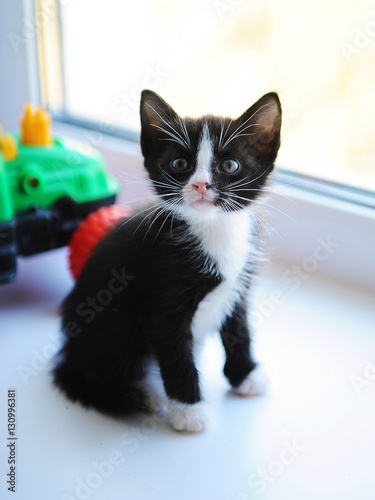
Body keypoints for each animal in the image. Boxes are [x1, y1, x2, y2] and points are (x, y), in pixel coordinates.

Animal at [53, 88, 282, 432]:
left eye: (229, 165)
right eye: (179, 163)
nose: (201, 184)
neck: (214, 229)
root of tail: (69, 350)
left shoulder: (238, 284)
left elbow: (239, 328)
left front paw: (245, 375)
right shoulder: (162, 297)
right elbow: (175, 355)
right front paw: (189, 411)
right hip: (114, 325)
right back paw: (133, 395)